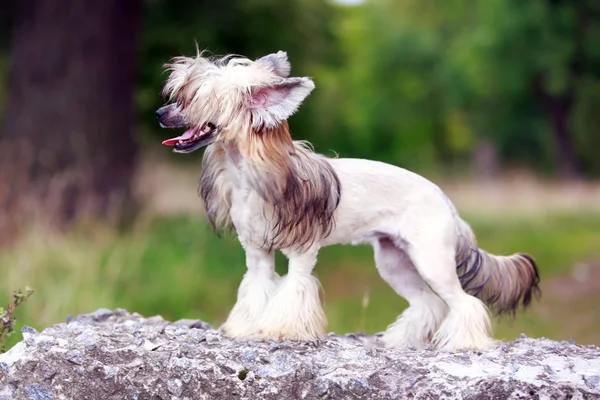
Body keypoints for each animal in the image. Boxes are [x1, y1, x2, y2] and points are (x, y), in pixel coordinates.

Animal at [155, 49, 540, 350]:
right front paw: (246, 328)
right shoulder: (257, 254)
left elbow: (295, 288)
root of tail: (448, 204)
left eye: (196, 95)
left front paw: (282, 331)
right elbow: (257, 289)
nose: (160, 114)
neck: (249, 175)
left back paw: (467, 343)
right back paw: (403, 339)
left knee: (464, 302)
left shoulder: (302, 252)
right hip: (395, 262)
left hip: (432, 260)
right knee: (429, 304)